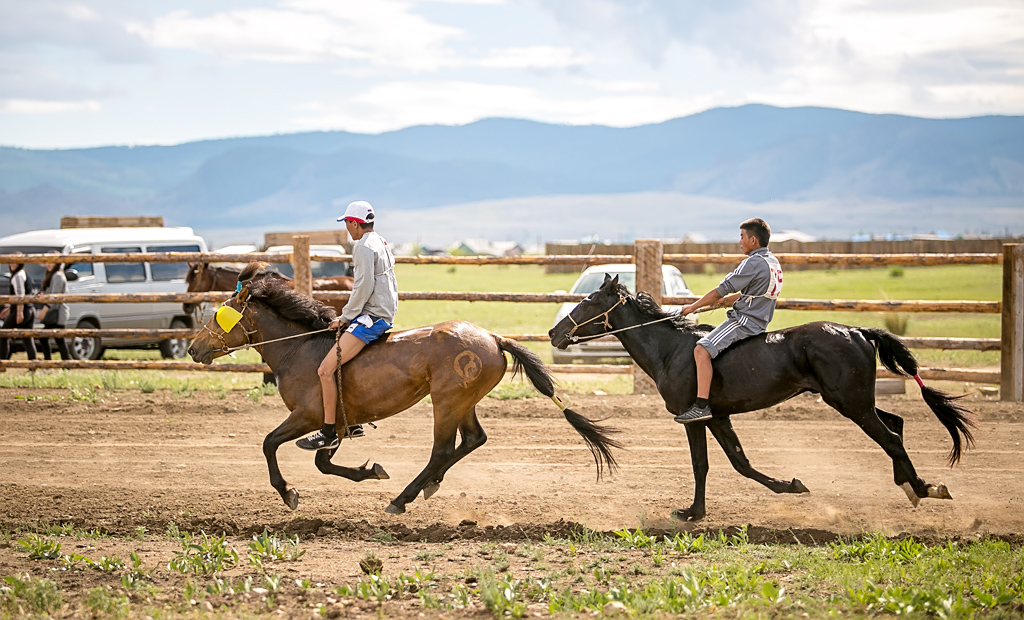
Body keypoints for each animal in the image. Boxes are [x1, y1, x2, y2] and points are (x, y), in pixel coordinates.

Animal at [188, 264, 618, 512]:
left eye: (218, 316)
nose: (193, 348)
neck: (301, 347)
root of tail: (493, 338)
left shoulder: (310, 415)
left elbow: (271, 444)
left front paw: (287, 492)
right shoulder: (340, 422)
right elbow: (324, 461)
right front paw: (370, 471)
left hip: (446, 402)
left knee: (442, 448)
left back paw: (403, 498)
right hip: (463, 402)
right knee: (473, 439)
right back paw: (429, 484)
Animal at [552, 272, 974, 520]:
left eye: (589, 301)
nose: (555, 333)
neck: (672, 349)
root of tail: (856, 330)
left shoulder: (694, 417)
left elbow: (702, 465)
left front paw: (693, 512)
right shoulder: (719, 417)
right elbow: (740, 463)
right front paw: (791, 486)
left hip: (851, 404)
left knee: (889, 437)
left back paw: (922, 488)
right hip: (856, 402)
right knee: (896, 425)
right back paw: (913, 486)